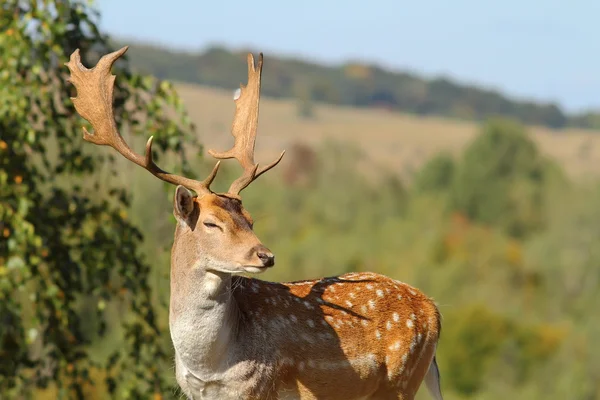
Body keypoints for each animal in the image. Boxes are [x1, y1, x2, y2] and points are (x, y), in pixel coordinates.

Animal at [65, 45, 442, 398]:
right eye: (211, 223)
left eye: (250, 219)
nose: (265, 255)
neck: (210, 366)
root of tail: (434, 310)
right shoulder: (195, 392)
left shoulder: (258, 385)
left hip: (401, 379)